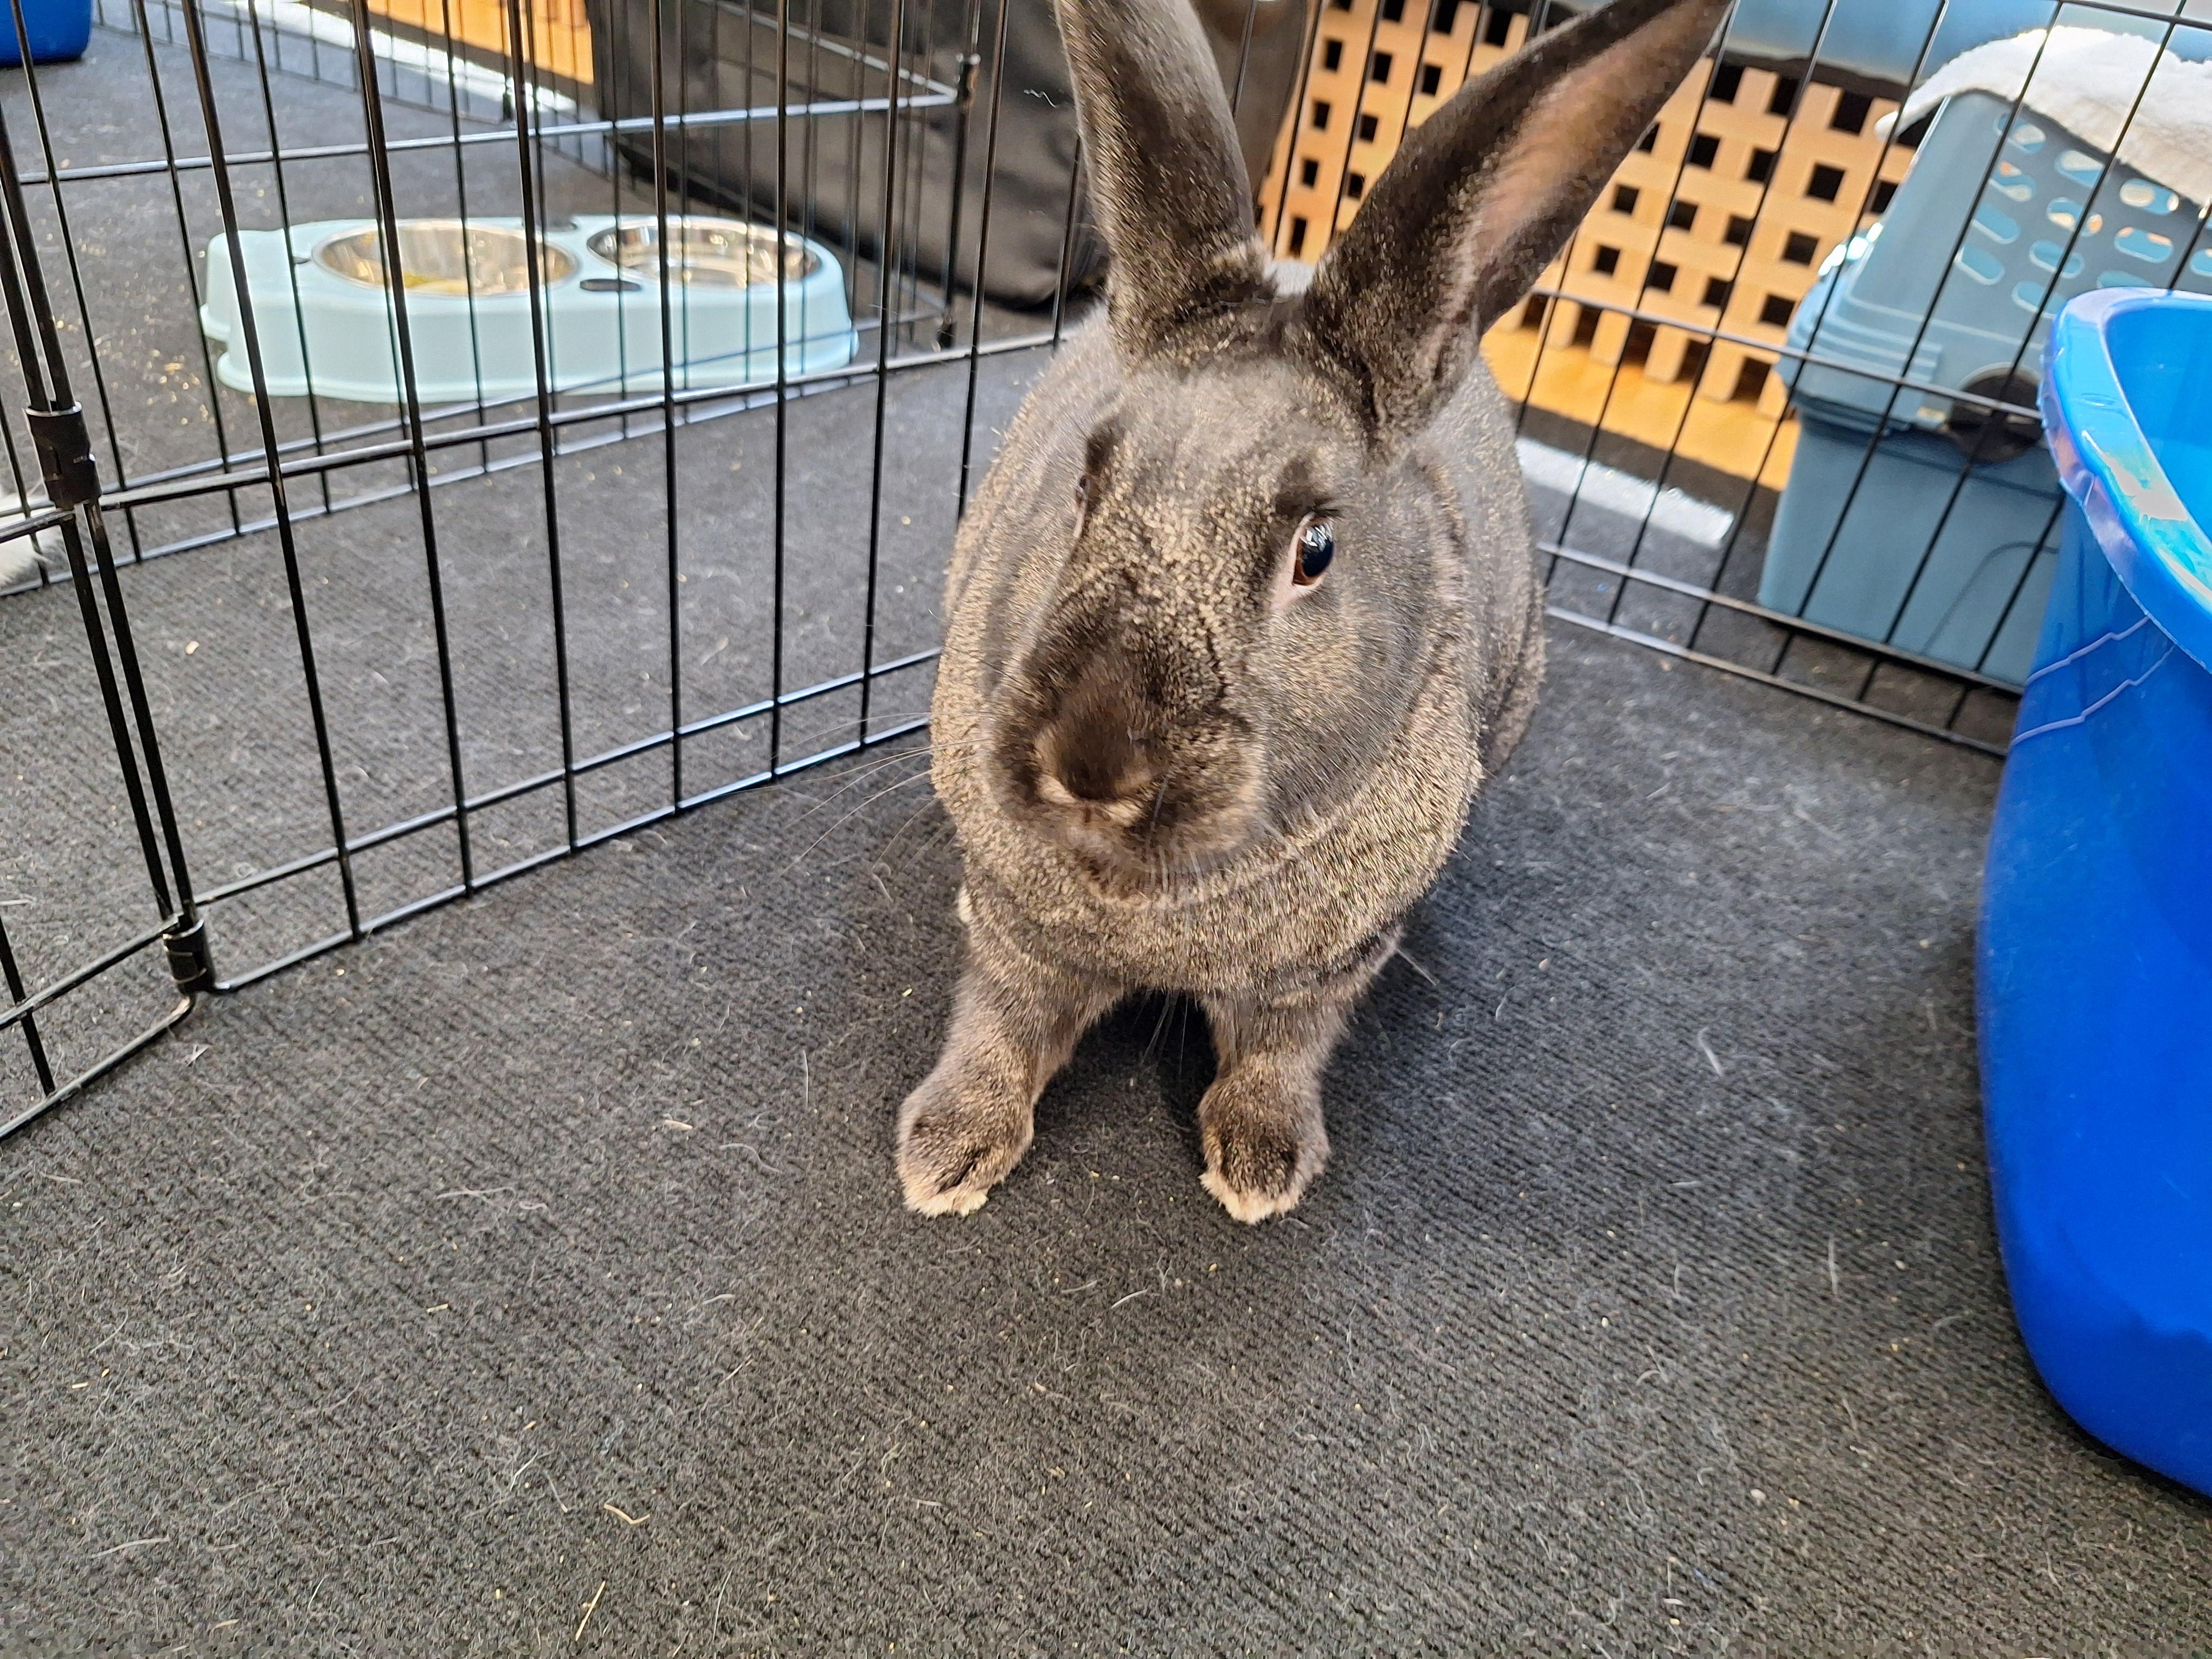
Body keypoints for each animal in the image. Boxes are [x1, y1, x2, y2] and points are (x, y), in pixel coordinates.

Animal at [898, 0, 1730, 1222]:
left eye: (1316, 550)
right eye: (1087, 484)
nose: (1092, 765)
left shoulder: (1320, 975)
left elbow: (1277, 1055)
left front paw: (1261, 1168)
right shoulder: (1014, 923)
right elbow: (999, 1023)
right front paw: (945, 1155)